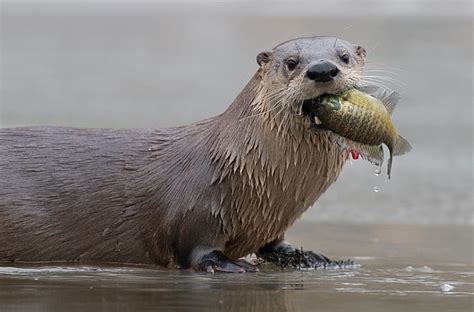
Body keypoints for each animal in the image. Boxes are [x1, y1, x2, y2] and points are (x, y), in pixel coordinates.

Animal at [0, 36, 366, 272]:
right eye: (291, 63)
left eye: (345, 56)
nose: (322, 69)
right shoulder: (196, 209)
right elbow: (197, 249)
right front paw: (228, 265)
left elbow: (273, 245)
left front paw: (309, 257)